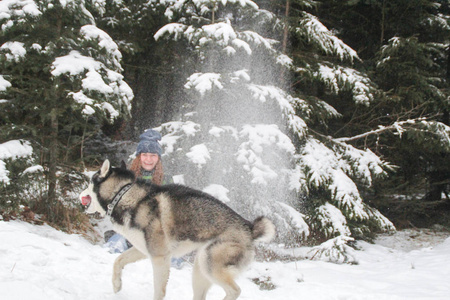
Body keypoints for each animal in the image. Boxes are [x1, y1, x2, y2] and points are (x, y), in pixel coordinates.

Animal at [79, 159, 276, 298]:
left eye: (89, 183)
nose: (80, 194)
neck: (125, 195)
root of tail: (249, 228)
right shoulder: (142, 250)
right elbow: (118, 261)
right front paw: (116, 284)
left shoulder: (160, 258)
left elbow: (158, 291)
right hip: (200, 269)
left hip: (209, 265)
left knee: (235, 291)